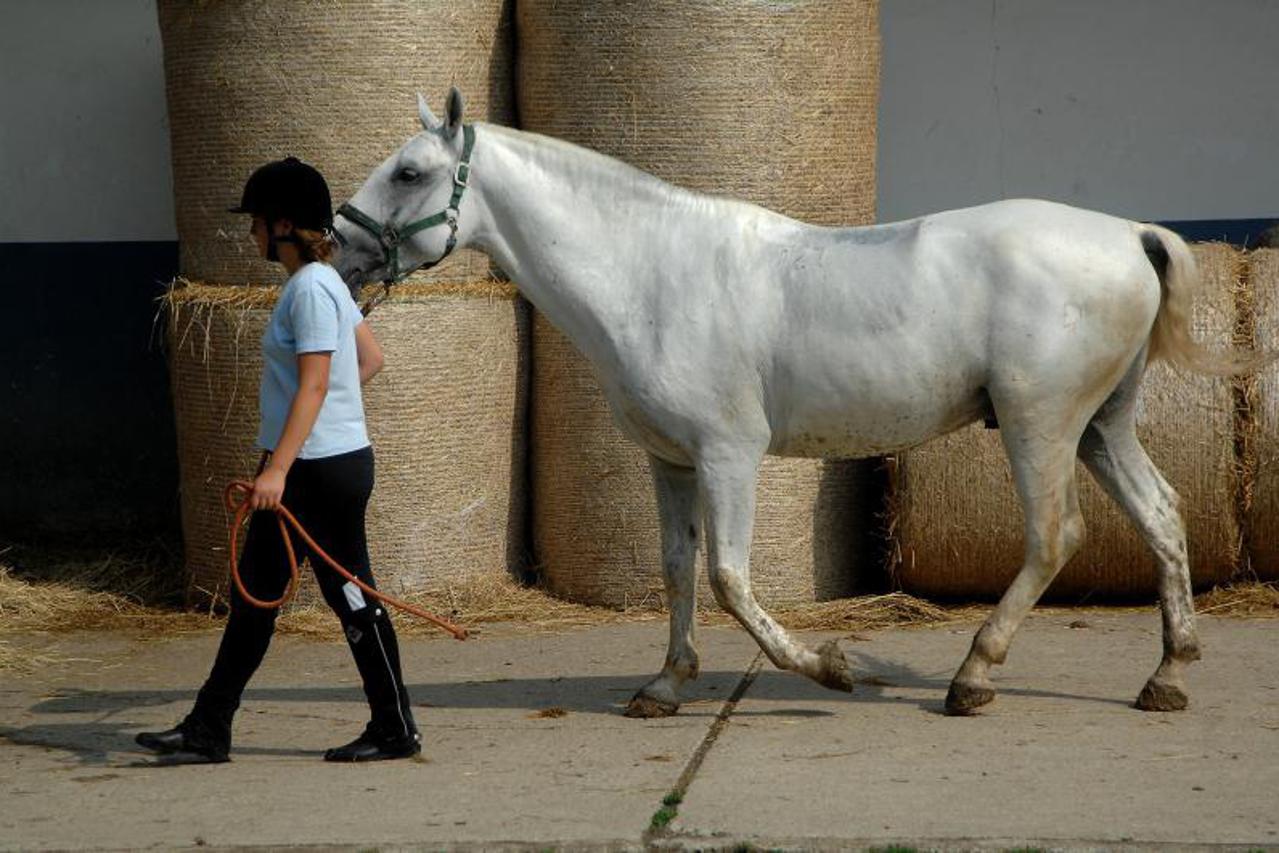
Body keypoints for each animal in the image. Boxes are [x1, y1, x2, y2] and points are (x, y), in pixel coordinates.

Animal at [335, 90, 1243, 716]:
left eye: (409, 172)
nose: (336, 247)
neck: (650, 273)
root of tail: (1129, 234)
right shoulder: (670, 461)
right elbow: (677, 570)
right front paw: (665, 684)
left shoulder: (729, 453)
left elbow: (730, 577)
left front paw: (828, 666)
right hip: (1099, 427)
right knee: (1162, 514)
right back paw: (1166, 674)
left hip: (1039, 424)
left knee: (1054, 537)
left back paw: (971, 677)